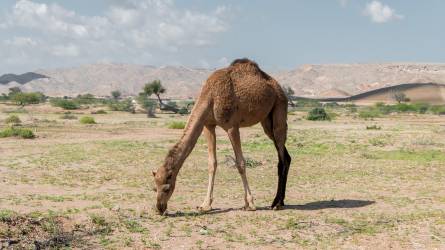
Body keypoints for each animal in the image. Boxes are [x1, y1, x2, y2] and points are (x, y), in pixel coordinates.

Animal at [153, 57, 292, 214]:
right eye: (154, 187)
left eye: (167, 188)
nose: (160, 208)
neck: (210, 96)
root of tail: (279, 88)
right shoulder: (208, 125)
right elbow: (212, 163)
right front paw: (205, 205)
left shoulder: (232, 126)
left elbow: (240, 163)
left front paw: (250, 203)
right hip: (266, 121)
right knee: (286, 156)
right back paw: (281, 201)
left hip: (279, 108)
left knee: (282, 158)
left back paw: (276, 203)